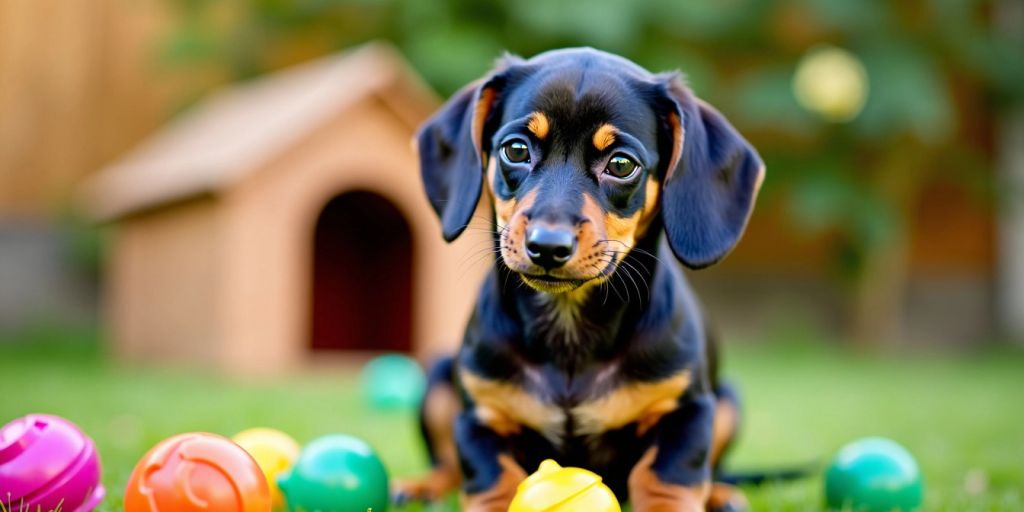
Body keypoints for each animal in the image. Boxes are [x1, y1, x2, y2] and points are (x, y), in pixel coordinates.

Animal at [395, 48, 765, 512]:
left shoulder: (687, 411)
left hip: (729, 400)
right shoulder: (480, 415)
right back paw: (421, 485)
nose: (547, 247)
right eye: (515, 149)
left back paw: (722, 492)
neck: (569, 332)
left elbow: (667, 477)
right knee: (446, 461)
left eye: (621, 164)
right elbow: (490, 477)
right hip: (439, 379)